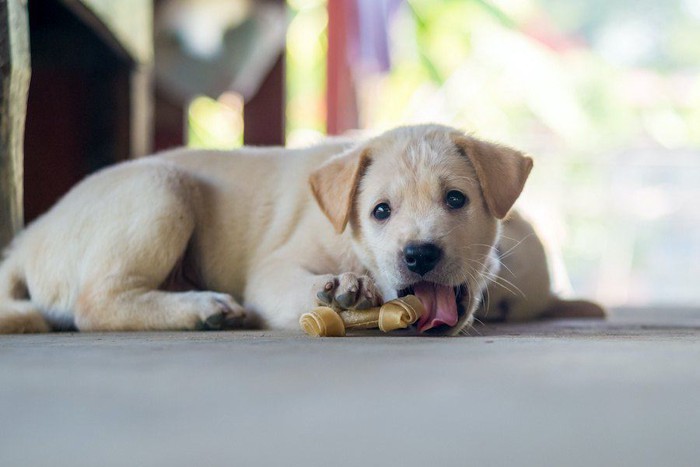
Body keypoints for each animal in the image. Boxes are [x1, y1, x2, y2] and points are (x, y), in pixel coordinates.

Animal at [0, 124, 532, 336]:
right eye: (380, 211)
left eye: (456, 199)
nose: (419, 254)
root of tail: (26, 241)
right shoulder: (273, 268)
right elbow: (304, 286)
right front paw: (342, 288)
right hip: (161, 187)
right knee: (95, 303)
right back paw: (202, 309)